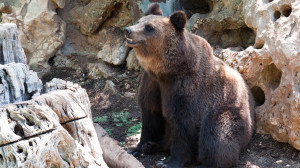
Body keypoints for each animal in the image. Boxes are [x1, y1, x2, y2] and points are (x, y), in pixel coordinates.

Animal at [125, 2, 255, 168]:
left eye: (149, 27)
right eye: (139, 21)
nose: (128, 30)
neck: (166, 72)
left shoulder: (184, 87)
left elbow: (184, 124)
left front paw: (169, 162)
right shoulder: (151, 83)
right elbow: (150, 115)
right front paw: (137, 148)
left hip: (233, 112)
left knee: (216, 129)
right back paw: (152, 146)